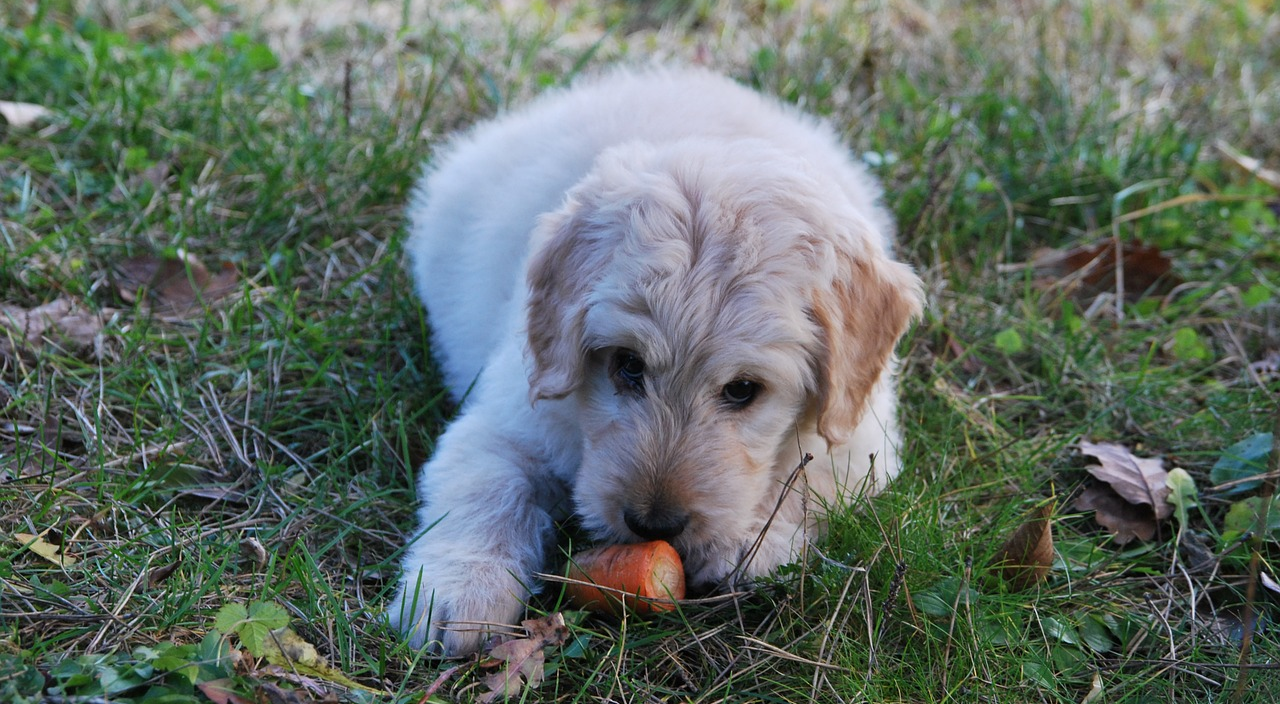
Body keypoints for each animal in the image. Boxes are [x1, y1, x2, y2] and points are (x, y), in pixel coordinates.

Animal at [386, 66, 921, 655]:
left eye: (743, 390)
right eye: (627, 364)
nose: (653, 525)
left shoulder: (861, 440)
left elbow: (807, 481)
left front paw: (749, 542)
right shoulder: (507, 418)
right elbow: (486, 489)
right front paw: (459, 592)